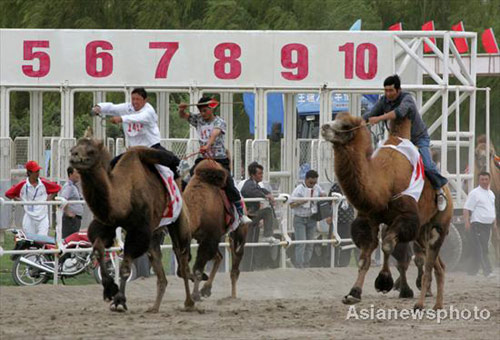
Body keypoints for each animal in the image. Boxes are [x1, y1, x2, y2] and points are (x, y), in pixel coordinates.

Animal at [69, 134, 194, 312]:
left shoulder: (139, 231)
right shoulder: (106, 224)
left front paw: (119, 300)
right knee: (158, 264)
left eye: (91, 151)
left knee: (182, 258)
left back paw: (190, 302)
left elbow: (125, 268)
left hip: (178, 221)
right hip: (155, 234)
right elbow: (99, 249)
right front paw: (110, 289)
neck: (124, 197)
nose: (74, 157)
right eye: (73, 148)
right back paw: (154, 308)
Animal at [182, 159, 248, 300]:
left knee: (235, 264)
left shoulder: (210, 237)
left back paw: (233, 296)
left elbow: (198, 268)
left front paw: (195, 295)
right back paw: (206, 288)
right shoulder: (195, 237)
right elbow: (185, 266)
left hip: (239, 234)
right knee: (219, 257)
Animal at [322, 113, 456, 310]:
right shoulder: (369, 219)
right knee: (438, 265)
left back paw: (420, 304)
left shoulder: (406, 218)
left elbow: (386, 245)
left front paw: (384, 281)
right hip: (421, 232)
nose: (324, 127)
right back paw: (437, 305)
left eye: (346, 125)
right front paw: (353, 294)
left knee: (428, 263)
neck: (384, 182)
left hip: (439, 226)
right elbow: (365, 257)